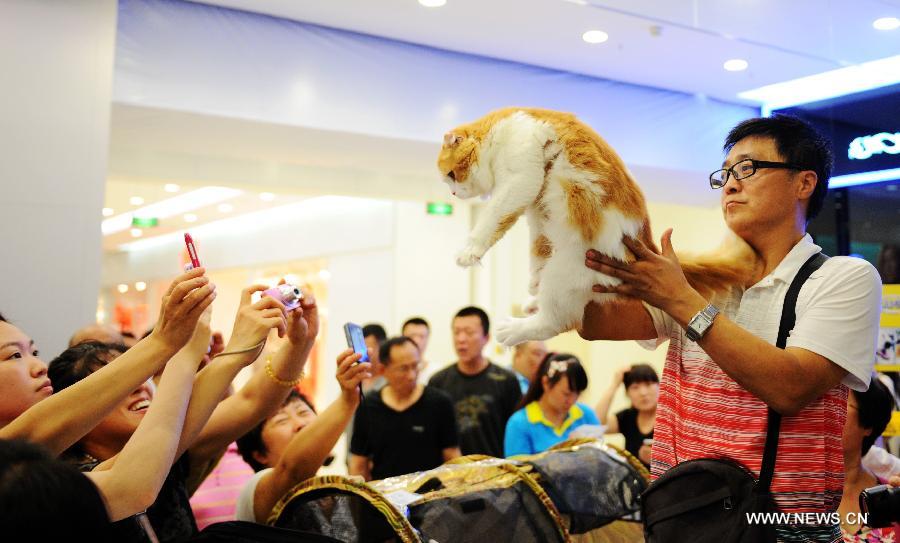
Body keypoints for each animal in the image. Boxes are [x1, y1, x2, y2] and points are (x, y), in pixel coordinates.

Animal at [436, 107, 760, 344]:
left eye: (451, 175)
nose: (452, 194)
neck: (501, 129)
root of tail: (645, 247)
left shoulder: (520, 179)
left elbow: (492, 219)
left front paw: (468, 252)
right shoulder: (538, 210)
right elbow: (537, 249)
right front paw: (531, 285)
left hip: (565, 272)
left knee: (555, 322)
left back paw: (515, 328)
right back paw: (532, 302)